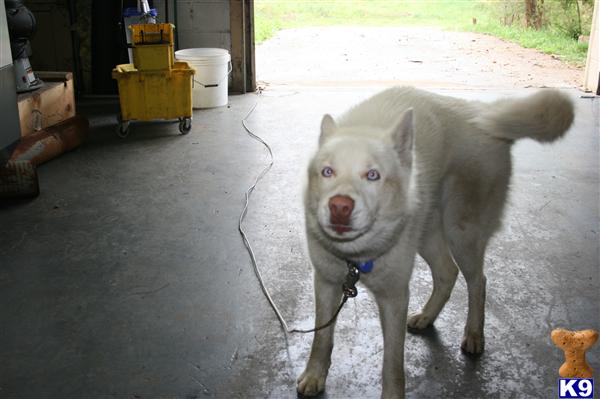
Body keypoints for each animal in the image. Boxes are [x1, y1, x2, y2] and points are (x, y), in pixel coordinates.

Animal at [298, 88, 576, 399]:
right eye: (328, 172)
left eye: (373, 175)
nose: (339, 207)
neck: (356, 258)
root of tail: (480, 112)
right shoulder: (326, 283)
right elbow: (322, 337)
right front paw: (314, 375)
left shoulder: (395, 297)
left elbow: (392, 362)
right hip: (428, 234)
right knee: (447, 272)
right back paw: (427, 318)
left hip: (462, 234)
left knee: (478, 282)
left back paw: (474, 335)